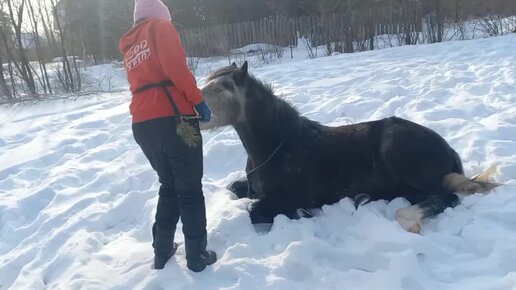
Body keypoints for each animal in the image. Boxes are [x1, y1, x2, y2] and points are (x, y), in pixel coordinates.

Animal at [199, 61, 500, 233]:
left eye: (221, 89)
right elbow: (235, 189)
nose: (193, 112)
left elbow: (255, 211)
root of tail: (448, 149)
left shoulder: (296, 197)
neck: (277, 146)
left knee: (445, 198)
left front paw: (301, 214)